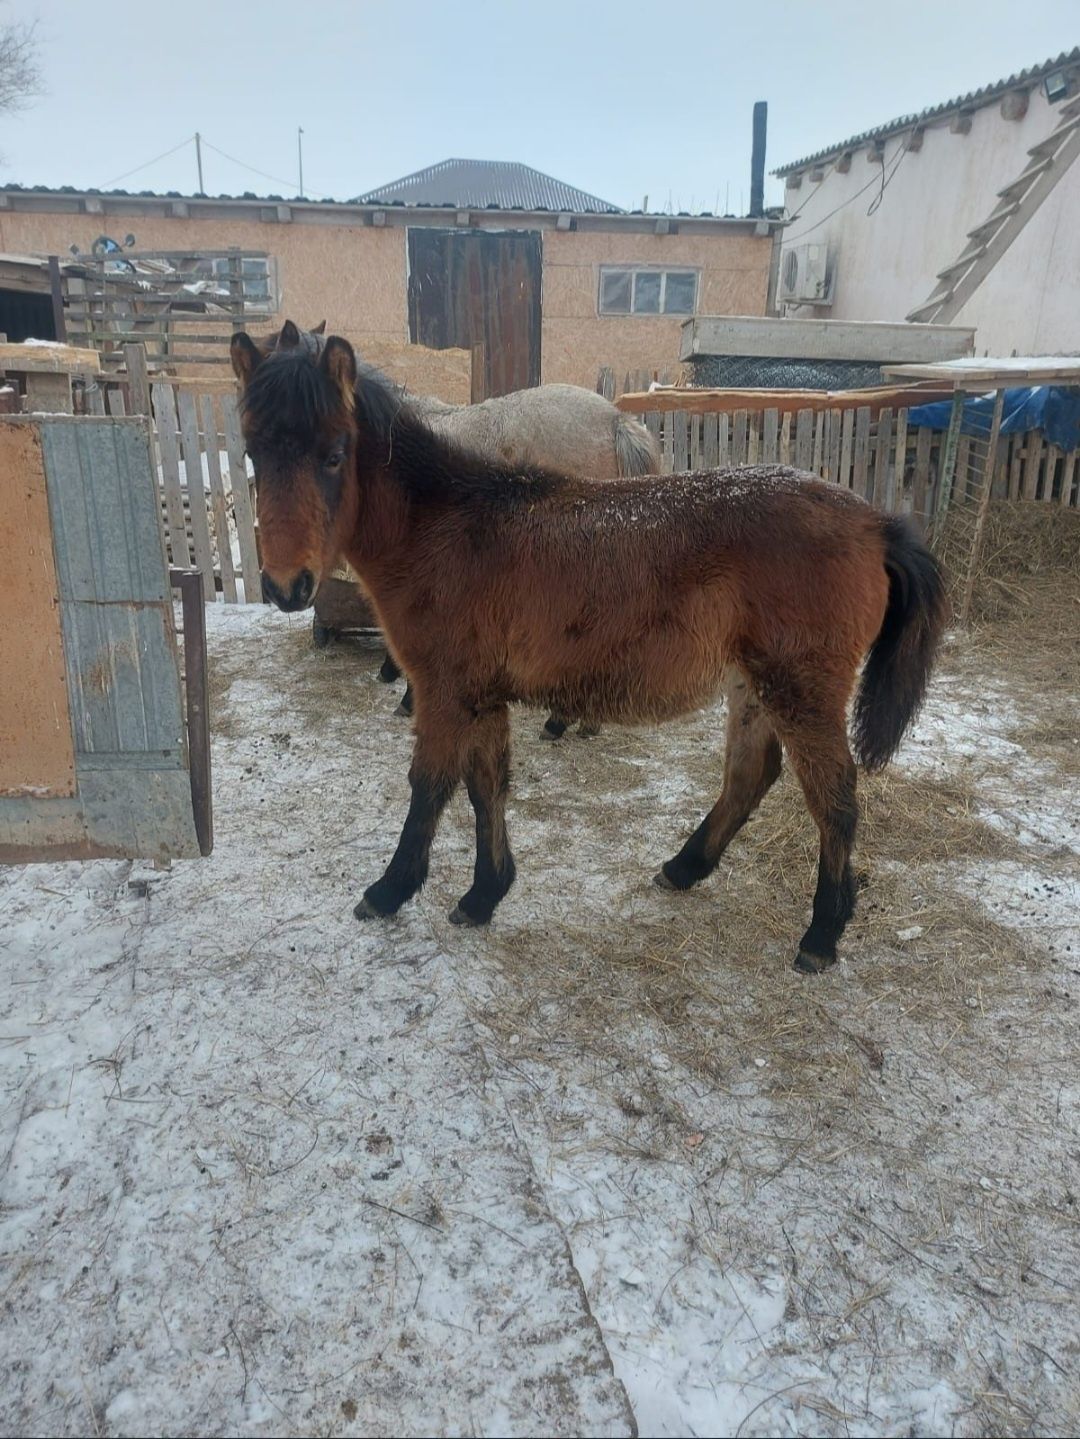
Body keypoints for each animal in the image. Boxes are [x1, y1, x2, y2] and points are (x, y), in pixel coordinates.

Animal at [232, 330, 943, 972]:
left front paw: (389, 890)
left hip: (803, 690)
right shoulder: (482, 694)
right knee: (749, 775)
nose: (286, 586)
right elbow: (487, 786)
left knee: (835, 798)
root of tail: (872, 522)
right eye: (251, 450)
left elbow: (430, 785)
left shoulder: (444, 689)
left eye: (335, 454)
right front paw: (484, 894)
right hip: (755, 685)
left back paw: (821, 935)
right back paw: (683, 868)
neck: (446, 529)